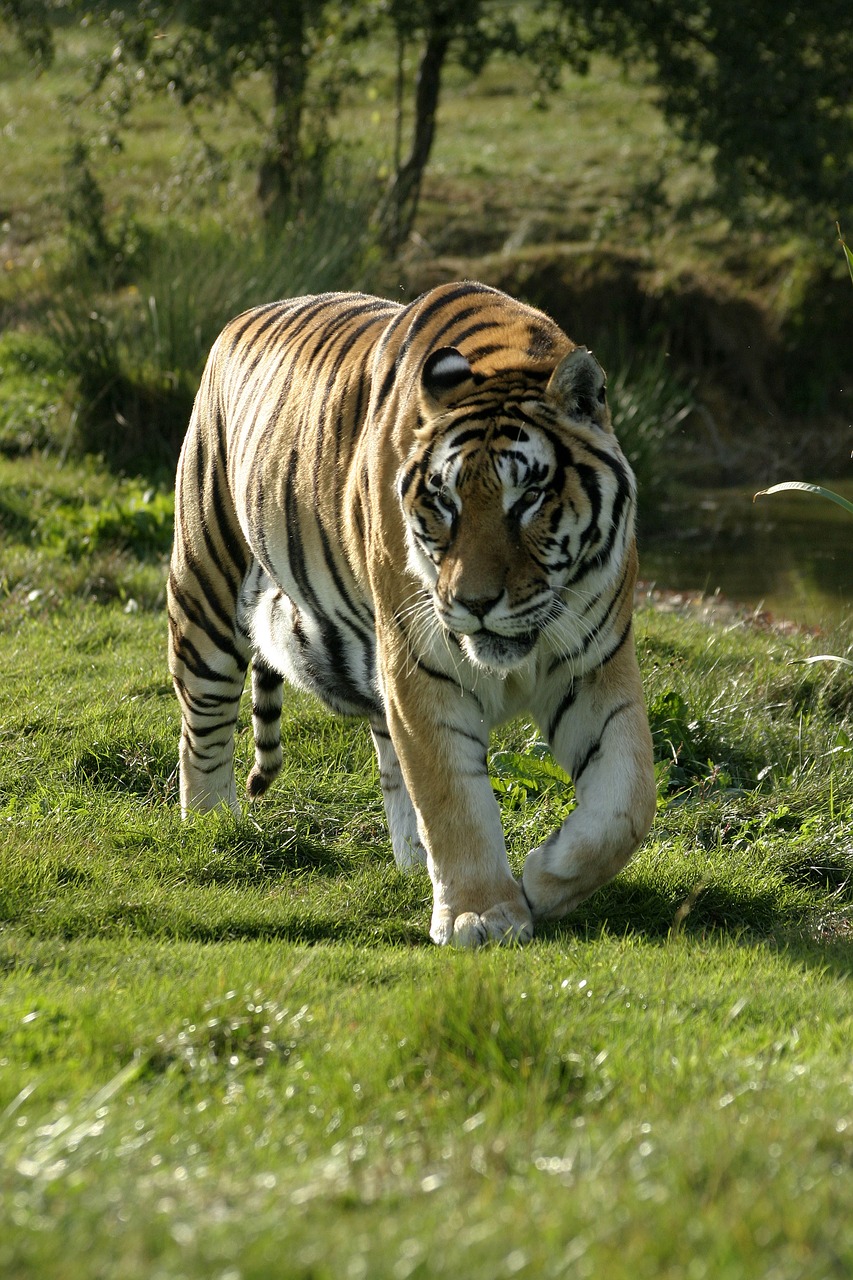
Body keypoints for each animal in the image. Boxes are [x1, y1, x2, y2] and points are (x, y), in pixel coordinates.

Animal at [167, 280, 655, 947]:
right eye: (445, 502)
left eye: (529, 498)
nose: (475, 603)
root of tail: (242, 317)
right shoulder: (424, 666)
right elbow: (453, 795)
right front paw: (482, 915)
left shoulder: (596, 664)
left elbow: (626, 804)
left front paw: (543, 879)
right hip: (205, 584)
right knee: (204, 725)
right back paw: (214, 828)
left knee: (389, 754)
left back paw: (414, 858)